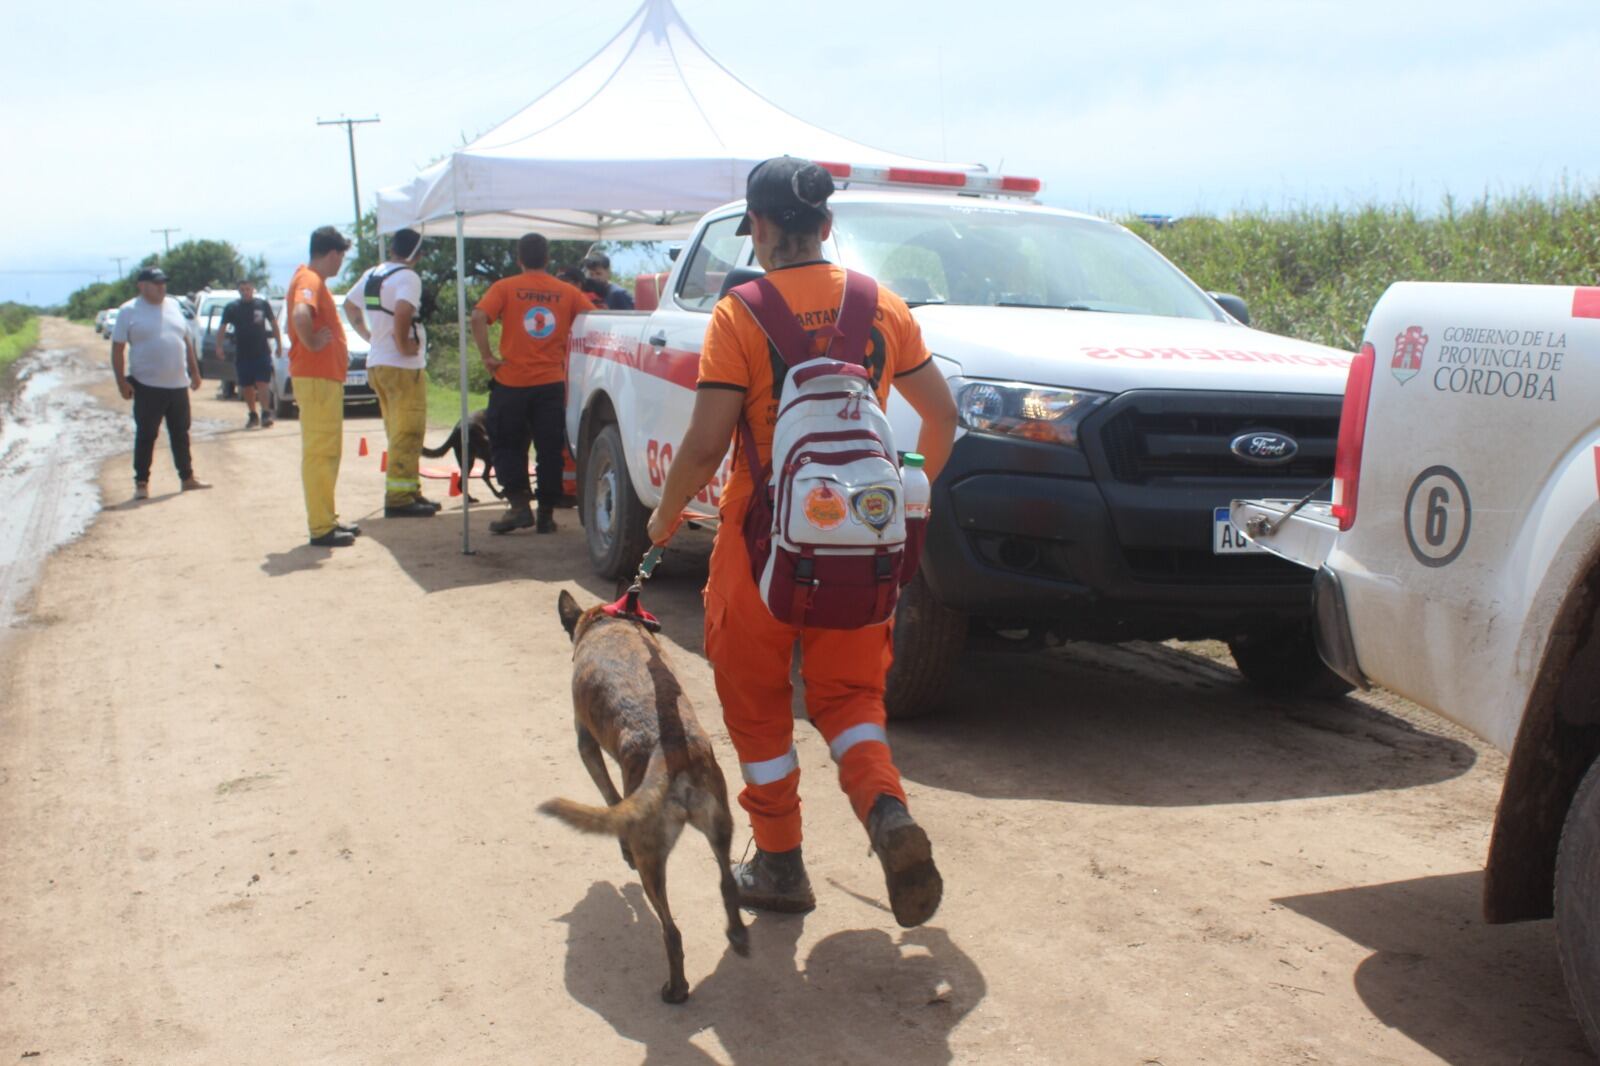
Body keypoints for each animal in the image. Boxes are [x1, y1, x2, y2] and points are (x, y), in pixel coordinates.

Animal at [544, 585, 748, 998]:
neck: (607, 621)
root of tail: (673, 754)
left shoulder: (586, 744)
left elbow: (610, 796)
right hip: (720, 825)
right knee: (726, 883)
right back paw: (736, 935)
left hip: (650, 859)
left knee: (672, 931)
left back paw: (676, 990)